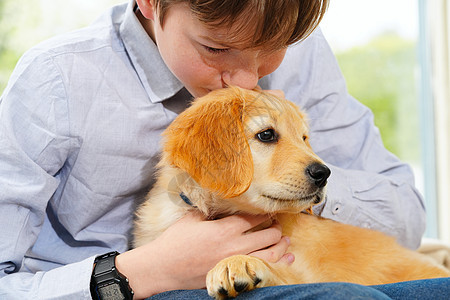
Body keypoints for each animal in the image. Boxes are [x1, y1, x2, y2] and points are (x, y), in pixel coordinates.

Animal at [134, 86, 450, 298]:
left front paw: (242, 262)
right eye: (266, 134)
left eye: (304, 138)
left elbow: (289, 274)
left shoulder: (308, 270)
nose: (324, 174)